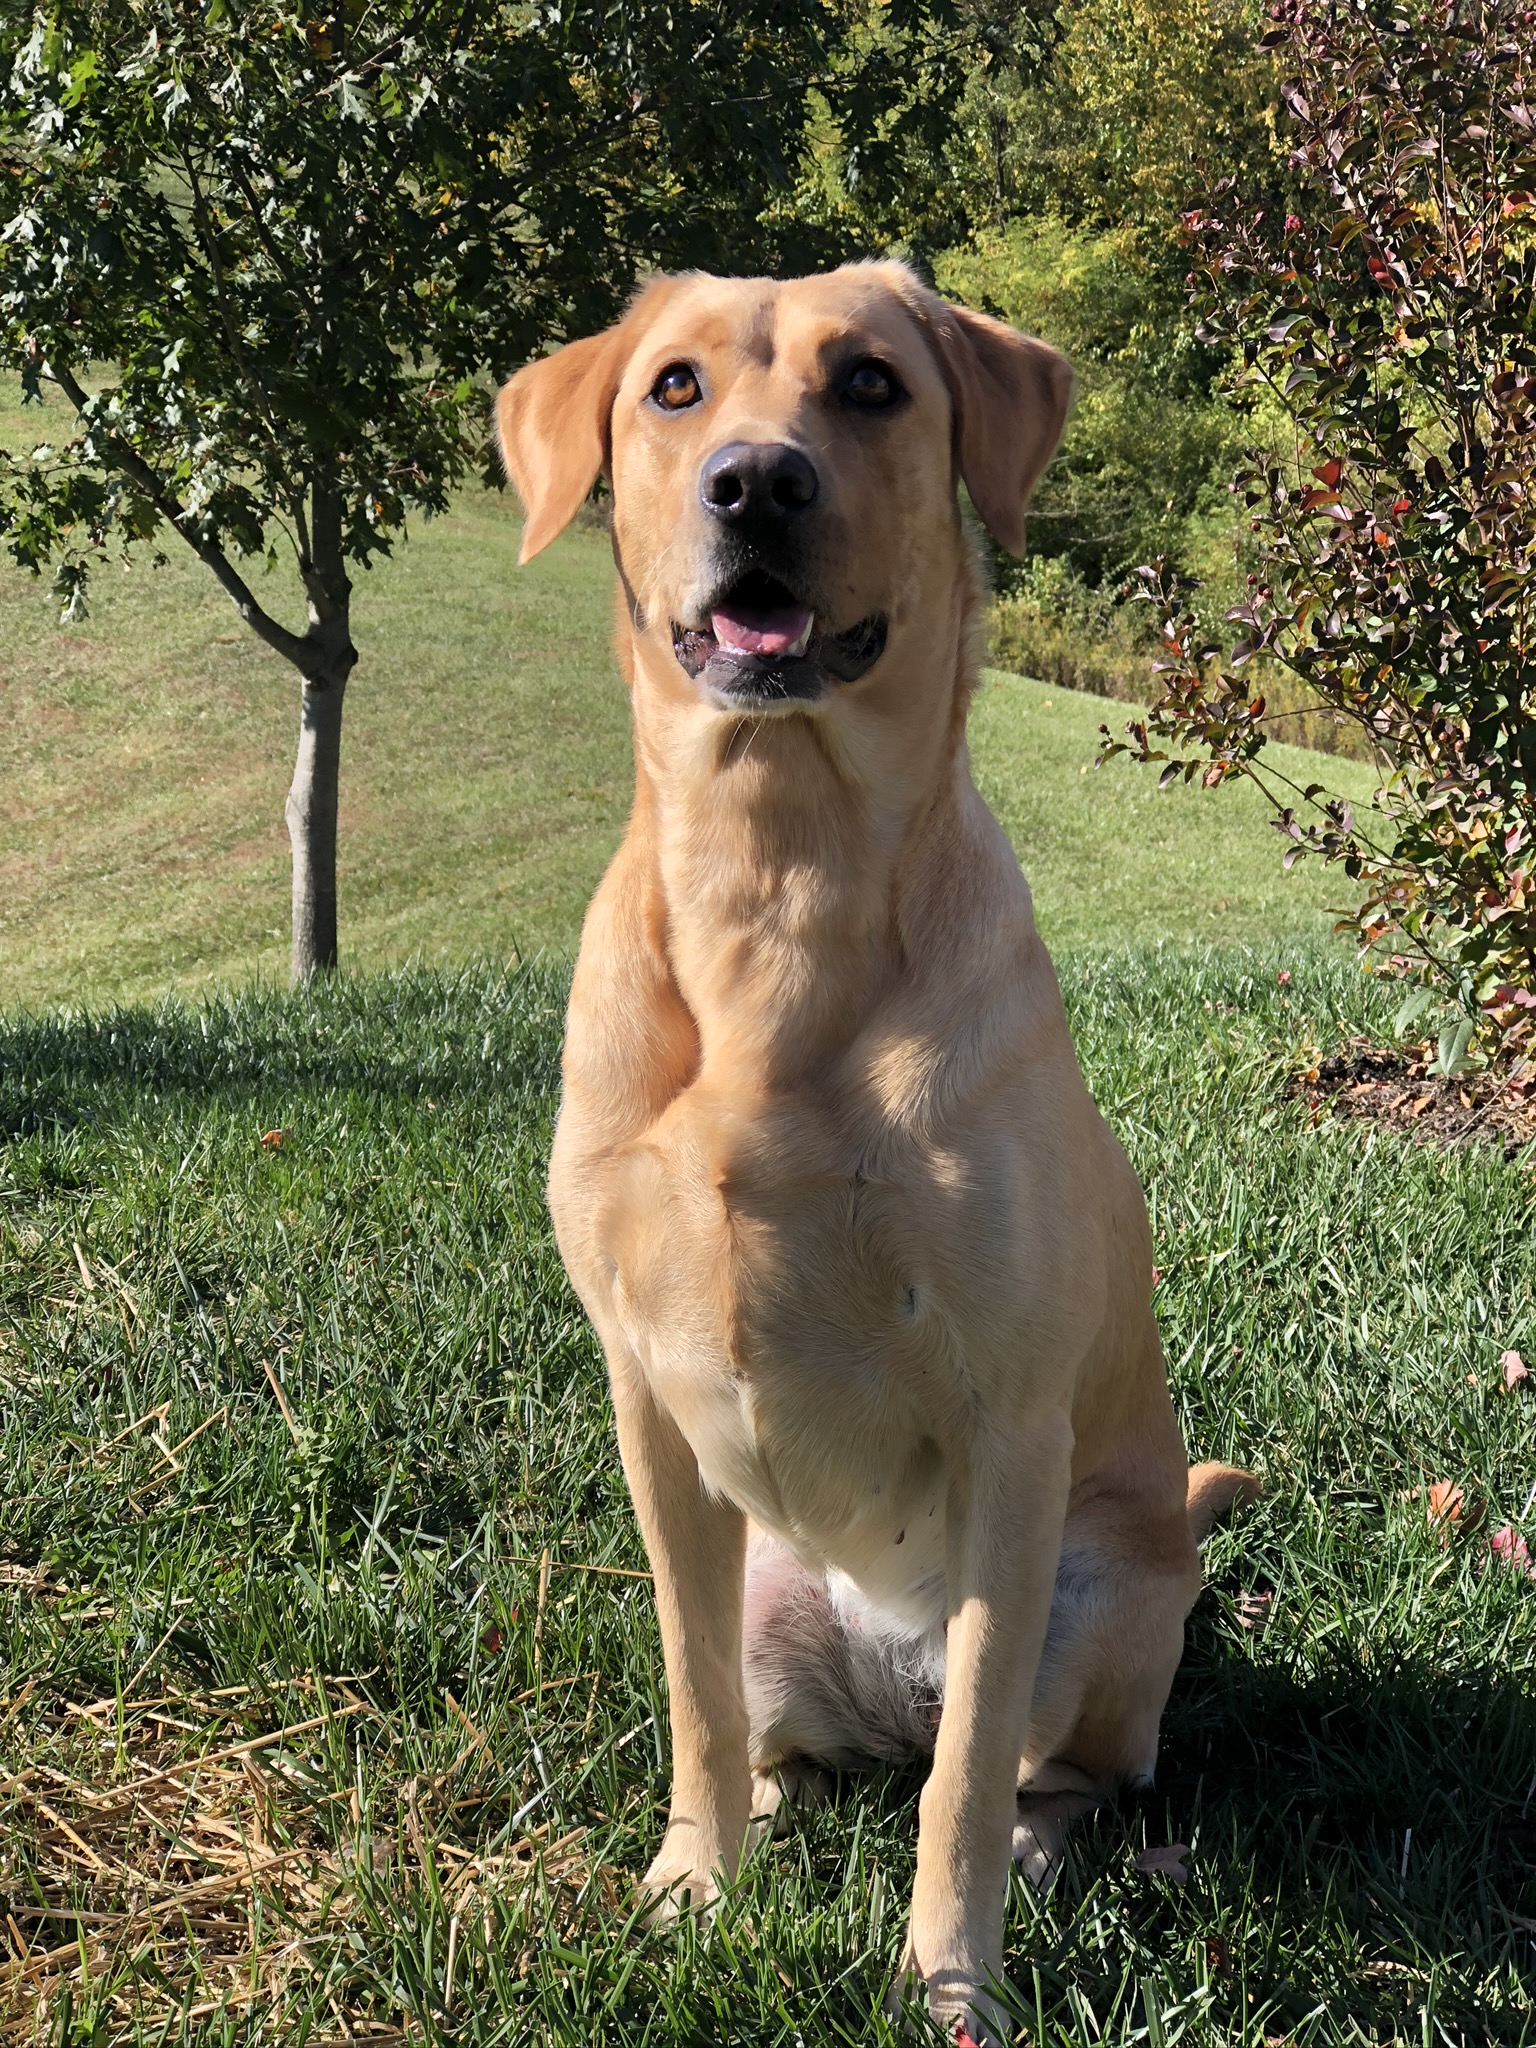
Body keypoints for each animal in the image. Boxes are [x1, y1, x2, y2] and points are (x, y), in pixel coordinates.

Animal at [499, 264, 1253, 2039]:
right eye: (677, 387)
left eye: (871, 386)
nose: (756, 485)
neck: (775, 870)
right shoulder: (647, 1407)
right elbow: (693, 1700)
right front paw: (694, 1882)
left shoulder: (1007, 1428)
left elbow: (966, 1781)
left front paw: (948, 1976)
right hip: (766, 1588)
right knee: (776, 1723)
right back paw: (771, 1809)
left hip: (1105, 1590)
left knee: (1035, 1763)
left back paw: (1045, 1842)